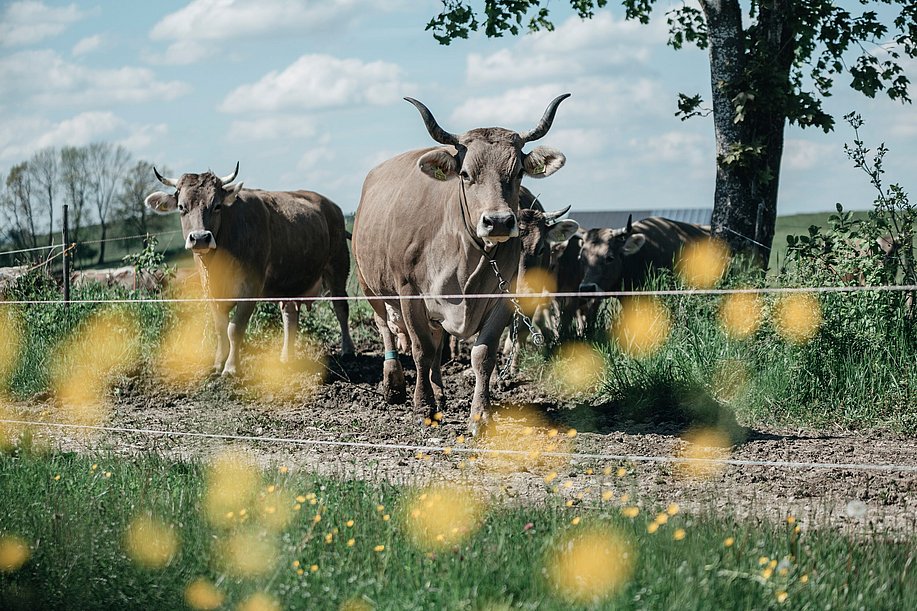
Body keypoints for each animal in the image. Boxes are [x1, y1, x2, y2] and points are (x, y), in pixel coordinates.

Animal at [146, 163, 354, 376]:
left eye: (217, 205)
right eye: (181, 207)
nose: (200, 238)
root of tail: (330, 204)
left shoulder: (250, 288)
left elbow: (234, 329)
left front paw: (231, 368)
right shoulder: (211, 291)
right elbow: (220, 328)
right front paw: (218, 364)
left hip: (338, 264)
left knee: (341, 307)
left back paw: (347, 350)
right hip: (289, 279)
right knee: (290, 315)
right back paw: (286, 358)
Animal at [354, 93, 568, 432]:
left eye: (518, 172)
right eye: (466, 174)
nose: (498, 221)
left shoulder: (503, 298)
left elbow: (482, 354)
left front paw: (480, 413)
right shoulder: (410, 294)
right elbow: (421, 350)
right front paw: (423, 406)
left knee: (438, 341)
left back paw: (441, 393)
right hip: (371, 286)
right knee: (386, 327)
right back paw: (394, 384)